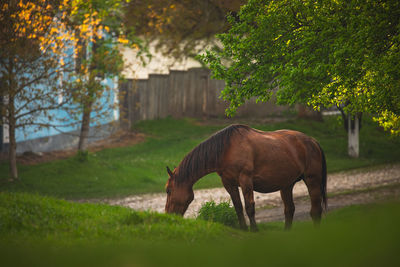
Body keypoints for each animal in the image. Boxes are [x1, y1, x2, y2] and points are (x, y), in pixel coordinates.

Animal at [164, 125, 326, 232]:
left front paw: (254, 230)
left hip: (312, 180)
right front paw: (243, 229)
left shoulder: (246, 180)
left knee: (316, 211)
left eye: (168, 190)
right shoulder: (229, 183)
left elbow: (249, 207)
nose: (168, 216)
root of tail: (313, 141)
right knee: (289, 210)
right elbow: (238, 206)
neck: (226, 149)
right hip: (287, 185)